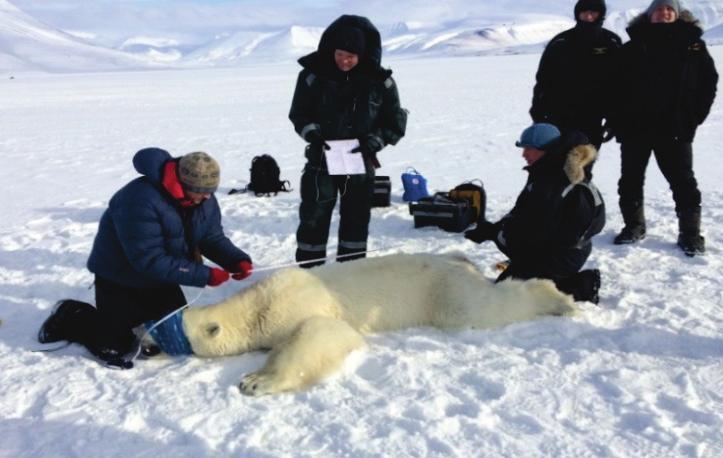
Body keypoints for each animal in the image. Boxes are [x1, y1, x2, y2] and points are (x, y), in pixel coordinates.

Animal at [180, 252, 576, 396]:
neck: (257, 303)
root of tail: (459, 259)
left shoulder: (298, 307)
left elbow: (322, 333)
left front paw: (255, 381)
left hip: (445, 291)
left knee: (481, 308)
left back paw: (560, 300)